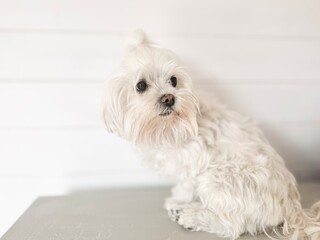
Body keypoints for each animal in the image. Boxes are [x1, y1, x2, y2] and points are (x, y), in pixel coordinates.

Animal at [102, 30, 320, 240]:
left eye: (173, 80)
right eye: (140, 85)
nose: (169, 98)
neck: (167, 127)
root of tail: (291, 207)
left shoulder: (193, 160)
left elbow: (186, 185)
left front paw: (178, 200)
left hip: (217, 177)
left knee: (232, 226)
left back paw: (189, 216)